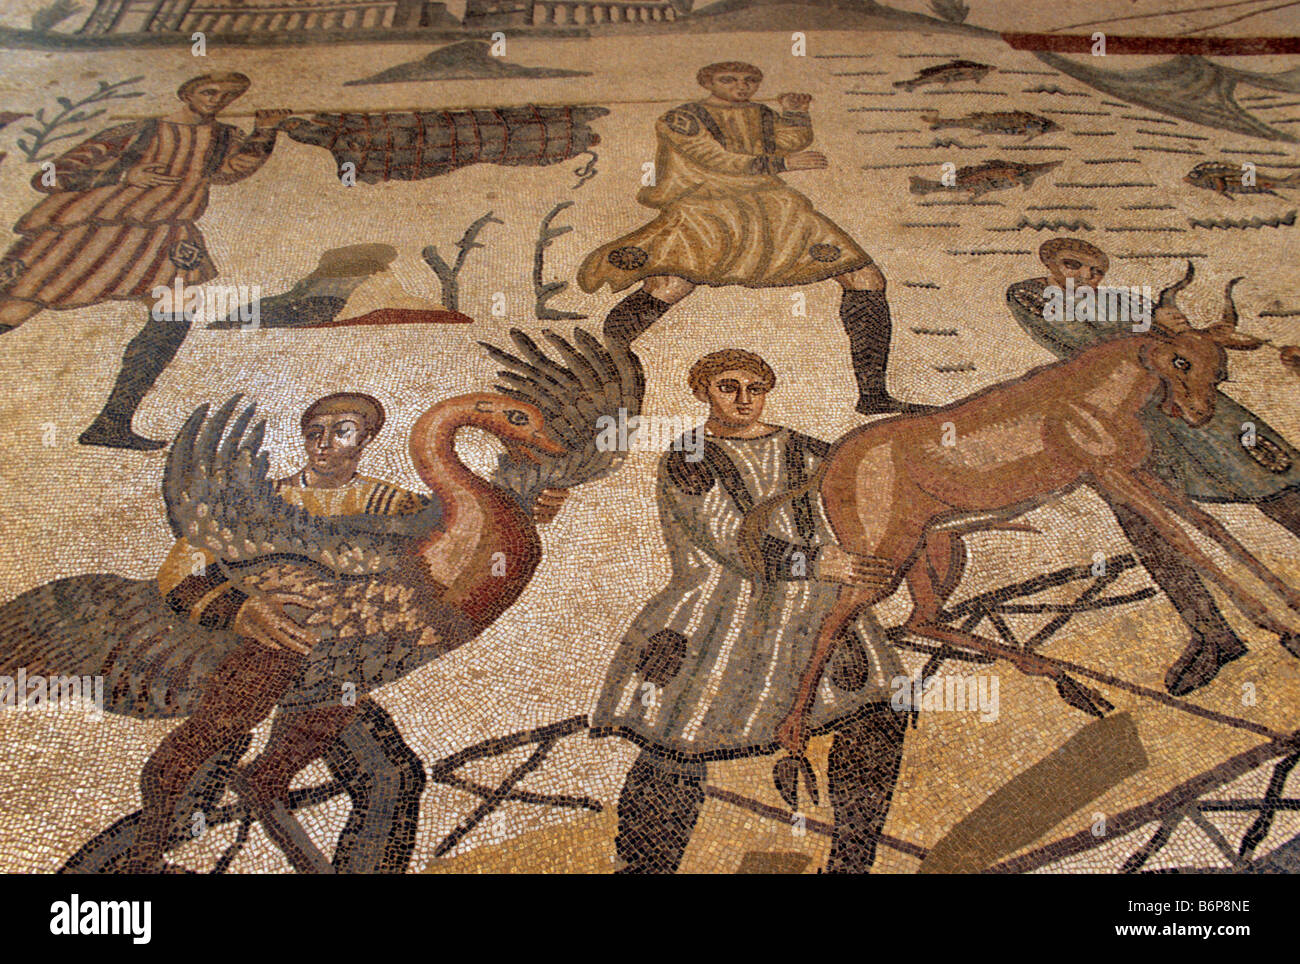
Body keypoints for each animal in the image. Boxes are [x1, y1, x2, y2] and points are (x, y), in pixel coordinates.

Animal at [743, 263, 1300, 763]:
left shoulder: (1138, 472)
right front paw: (1280, 627)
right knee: (836, 618)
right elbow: (1182, 538)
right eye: (1180, 360)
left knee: (923, 618)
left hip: (933, 549)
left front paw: (1290, 605)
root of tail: (828, 463)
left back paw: (1068, 681)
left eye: (1221, 368)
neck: (1097, 395)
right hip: (881, 554)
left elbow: (1213, 526)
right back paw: (790, 735)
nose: (1199, 415)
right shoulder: (1107, 476)